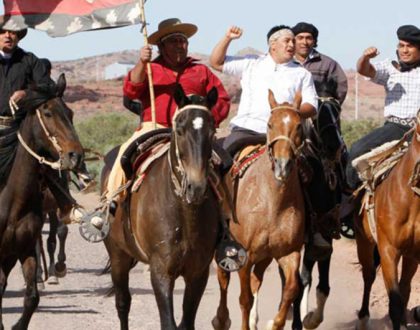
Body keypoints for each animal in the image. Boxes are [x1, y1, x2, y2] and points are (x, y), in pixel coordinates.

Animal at [103, 85, 221, 330]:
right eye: (180, 130)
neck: (184, 214)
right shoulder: (161, 272)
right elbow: (168, 322)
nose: (196, 186)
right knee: (123, 303)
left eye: (212, 131)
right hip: (118, 255)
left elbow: (186, 322)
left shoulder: (198, 273)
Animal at [213, 90, 306, 330]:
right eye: (270, 124)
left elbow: (290, 290)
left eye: (299, 125)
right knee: (223, 278)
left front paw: (275, 323)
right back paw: (221, 319)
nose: (283, 165)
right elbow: (244, 299)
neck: (273, 204)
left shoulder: (289, 253)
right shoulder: (245, 256)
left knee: (257, 281)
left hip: (265, 257)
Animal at [354, 109, 420, 328]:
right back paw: (363, 317)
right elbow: (395, 303)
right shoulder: (388, 250)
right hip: (364, 243)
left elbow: (404, 293)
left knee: (405, 288)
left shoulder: (414, 253)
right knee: (368, 276)